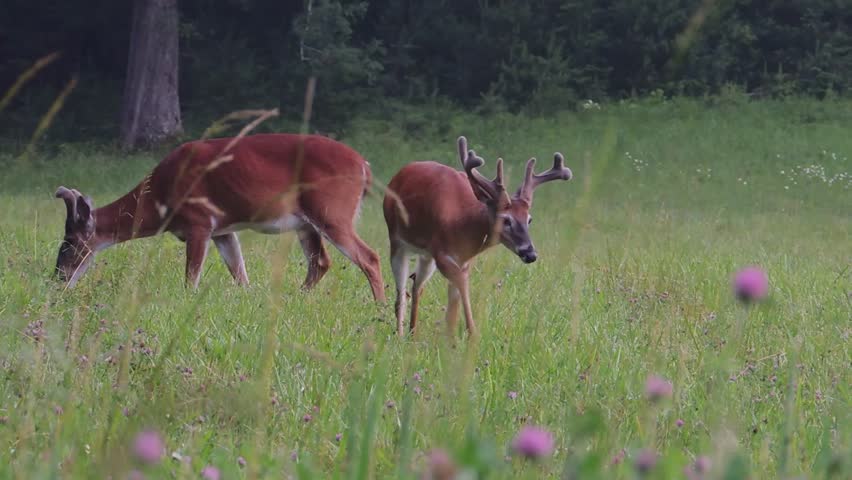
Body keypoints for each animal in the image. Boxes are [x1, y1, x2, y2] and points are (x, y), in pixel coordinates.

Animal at [53, 133, 386, 302]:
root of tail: (365, 166)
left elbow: (191, 277)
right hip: (306, 222)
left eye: (69, 243)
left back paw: (381, 309)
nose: (58, 280)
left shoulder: (199, 221)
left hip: (332, 210)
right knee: (321, 262)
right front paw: (249, 300)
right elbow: (239, 272)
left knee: (369, 256)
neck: (159, 196)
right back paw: (294, 299)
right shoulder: (222, 230)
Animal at [383, 136, 572, 338]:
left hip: (426, 255)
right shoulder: (442, 254)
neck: (460, 225)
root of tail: (397, 176)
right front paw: (472, 333)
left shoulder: (463, 260)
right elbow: (462, 287)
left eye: (529, 219)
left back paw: (413, 333)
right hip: (396, 241)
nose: (530, 254)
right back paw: (400, 335)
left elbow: (454, 305)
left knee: (417, 286)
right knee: (401, 295)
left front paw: (451, 338)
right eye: (506, 220)